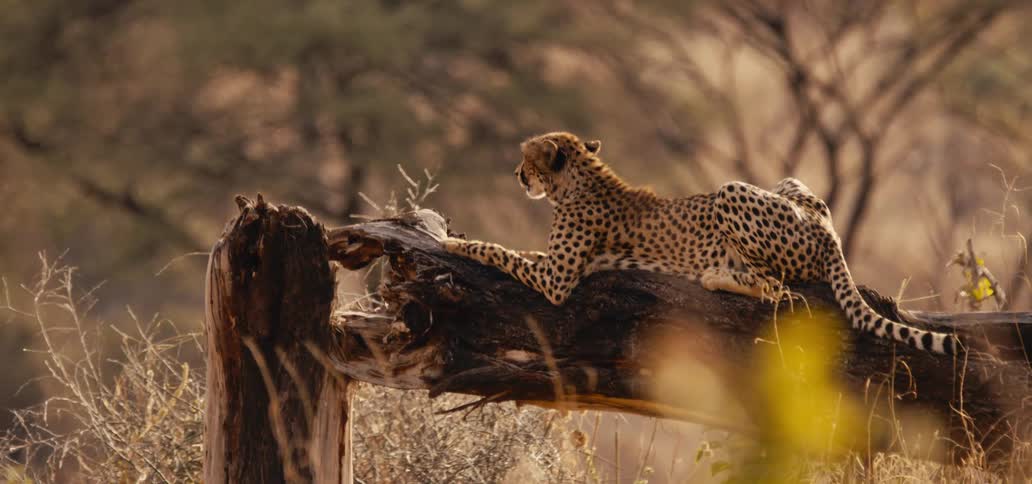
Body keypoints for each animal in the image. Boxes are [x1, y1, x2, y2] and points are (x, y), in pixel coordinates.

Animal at [443, 131, 960, 355]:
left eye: (526, 159)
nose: (516, 174)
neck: (578, 181)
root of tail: (829, 232)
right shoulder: (552, 265)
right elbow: (518, 251)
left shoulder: (556, 280)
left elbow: (498, 250)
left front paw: (450, 242)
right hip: (787, 183)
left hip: (731, 192)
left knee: (777, 289)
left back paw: (716, 276)